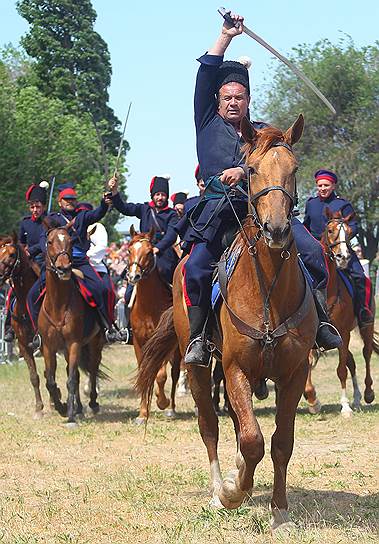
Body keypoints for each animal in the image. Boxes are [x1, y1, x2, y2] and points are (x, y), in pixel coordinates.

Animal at [38, 221, 104, 424]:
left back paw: (92, 403)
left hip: (94, 342)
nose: (64, 268)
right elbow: (51, 380)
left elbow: (72, 379)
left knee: (92, 368)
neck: (59, 305)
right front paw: (61, 407)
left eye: (70, 241)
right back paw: (78, 407)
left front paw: (70, 415)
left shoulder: (74, 343)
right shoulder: (48, 347)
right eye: (49, 241)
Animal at [127, 226, 182, 424]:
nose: (133, 275)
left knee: (174, 374)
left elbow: (161, 375)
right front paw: (142, 414)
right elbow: (145, 371)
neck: (148, 306)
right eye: (129, 250)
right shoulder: (139, 343)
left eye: (149, 252)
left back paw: (171, 408)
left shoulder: (160, 343)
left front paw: (162, 401)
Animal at [137, 116, 318, 532]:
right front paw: (233, 493)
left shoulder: (294, 373)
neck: (268, 290)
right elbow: (252, 440)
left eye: (295, 168)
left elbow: (280, 441)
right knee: (211, 425)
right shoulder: (235, 369)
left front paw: (279, 510)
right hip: (200, 369)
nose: (276, 229)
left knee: (236, 424)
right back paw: (220, 489)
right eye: (250, 170)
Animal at [306, 208, 378, 416]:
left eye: (350, 232)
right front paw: (312, 399)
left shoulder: (344, 334)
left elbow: (341, 370)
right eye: (330, 230)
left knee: (366, 354)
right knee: (352, 361)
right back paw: (357, 398)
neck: (326, 293)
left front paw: (345, 406)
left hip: (366, 327)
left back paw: (367, 394)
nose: (343, 257)